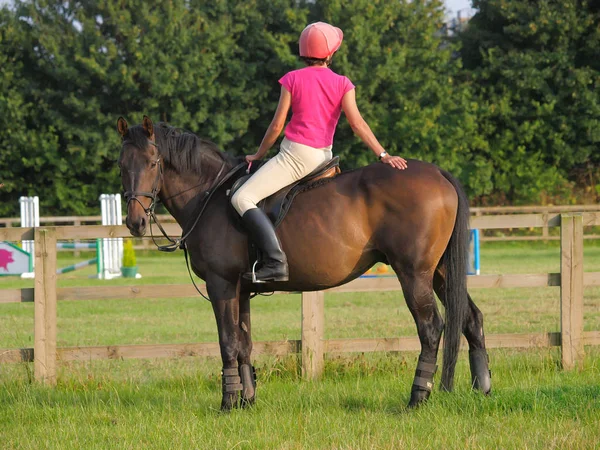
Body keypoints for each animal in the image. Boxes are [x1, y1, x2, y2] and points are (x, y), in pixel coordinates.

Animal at [118, 117, 492, 412]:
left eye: (153, 162)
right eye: (121, 164)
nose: (135, 222)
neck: (210, 195)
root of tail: (438, 172)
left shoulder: (220, 284)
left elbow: (228, 342)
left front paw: (228, 402)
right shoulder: (241, 289)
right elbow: (244, 344)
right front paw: (247, 400)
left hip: (414, 274)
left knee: (431, 328)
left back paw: (417, 397)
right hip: (440, 272)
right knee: (471, 318)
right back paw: (482, 388)